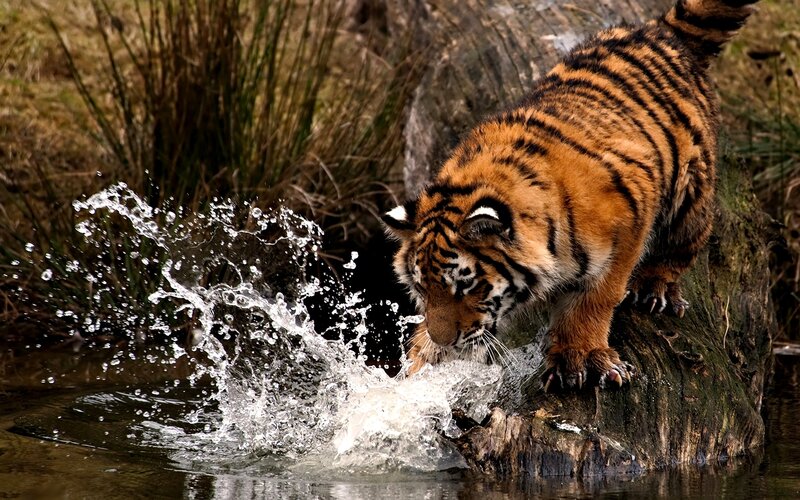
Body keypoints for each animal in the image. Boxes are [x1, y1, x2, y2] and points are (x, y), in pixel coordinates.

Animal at [382, 0, 760, 390]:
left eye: (466, 286)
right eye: (422, 288)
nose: (445, 340)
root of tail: (660, 28)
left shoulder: (629, 218)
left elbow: (595, 298)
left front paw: (580, 356)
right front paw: (419, 362)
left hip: (690, 190)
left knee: (685, 241)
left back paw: (654, 287)